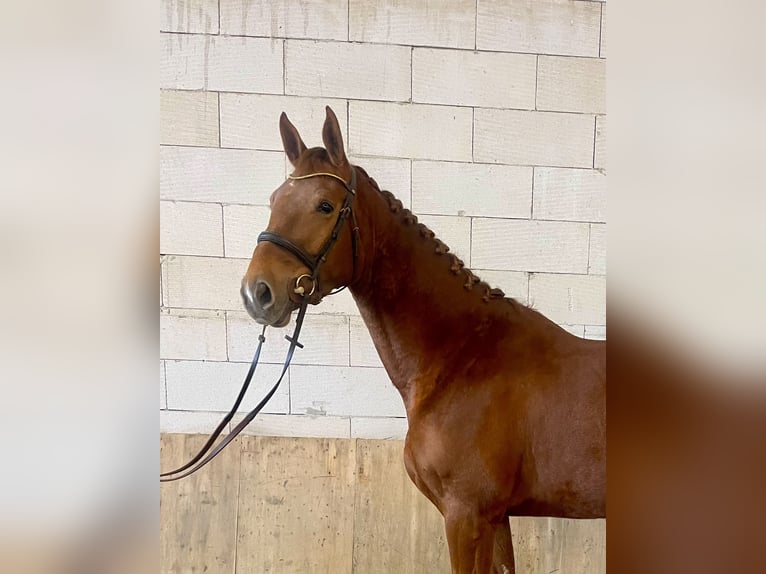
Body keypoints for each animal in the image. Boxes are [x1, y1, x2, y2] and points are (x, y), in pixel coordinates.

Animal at [241, 106, 606, 574]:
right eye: (273, 201)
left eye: (325, 205)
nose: (257, 292)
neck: (461, 357)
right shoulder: (496, 518)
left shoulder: (467, 515)